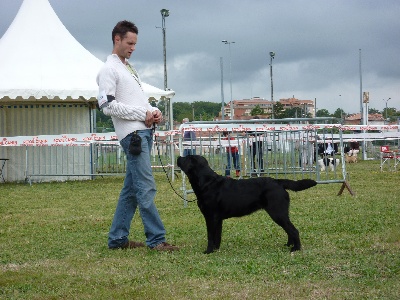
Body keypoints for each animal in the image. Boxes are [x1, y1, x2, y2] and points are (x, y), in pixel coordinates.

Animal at [177, 155, 318, 253]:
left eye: (186, 157)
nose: (178, 157)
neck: (207, 183)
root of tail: (278, 182)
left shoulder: (211, 217)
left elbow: (210, 236)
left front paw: (208, 251)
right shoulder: (218, 219)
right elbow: (218, 236)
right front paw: (216, 250)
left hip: (277, 212)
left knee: (294, 230)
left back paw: (296, 248)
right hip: (281, 214)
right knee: (289, 229)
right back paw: (289, 245)